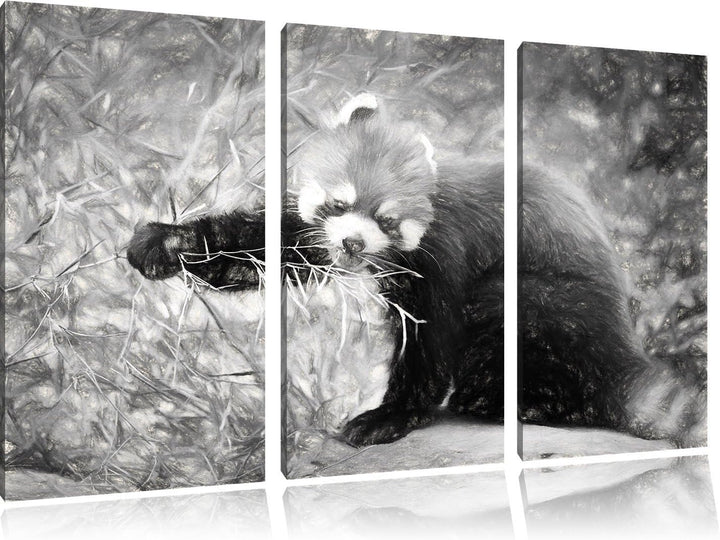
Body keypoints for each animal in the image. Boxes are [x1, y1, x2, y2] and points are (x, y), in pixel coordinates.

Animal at [128, 94, 705, 448]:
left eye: (386, 219)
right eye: (339, 205)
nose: (354, 242)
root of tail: (624, 349)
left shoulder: (448, 251)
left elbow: (430, 341)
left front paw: (390, 415)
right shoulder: (315, 237)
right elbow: (273, 247)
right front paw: (168, 242)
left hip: (547, 305)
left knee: (517, 318)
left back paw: (520, 403)